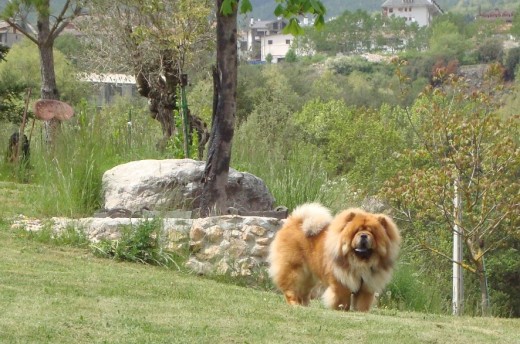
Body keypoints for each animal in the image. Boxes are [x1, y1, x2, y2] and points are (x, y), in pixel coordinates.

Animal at [268, 202, 402, 312]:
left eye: (372, 233)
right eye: (356, 231)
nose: (364, 235)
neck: (360, 263)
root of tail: (295, 221)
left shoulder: (367, 286)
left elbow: (362, 302)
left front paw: (361, 311)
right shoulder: (341, 281)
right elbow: (342, 299)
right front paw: (341, 309)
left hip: (309, 276)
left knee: (303, 291)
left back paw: (305, 306)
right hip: (294, 269)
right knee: (291, 288)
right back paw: (295, 304)